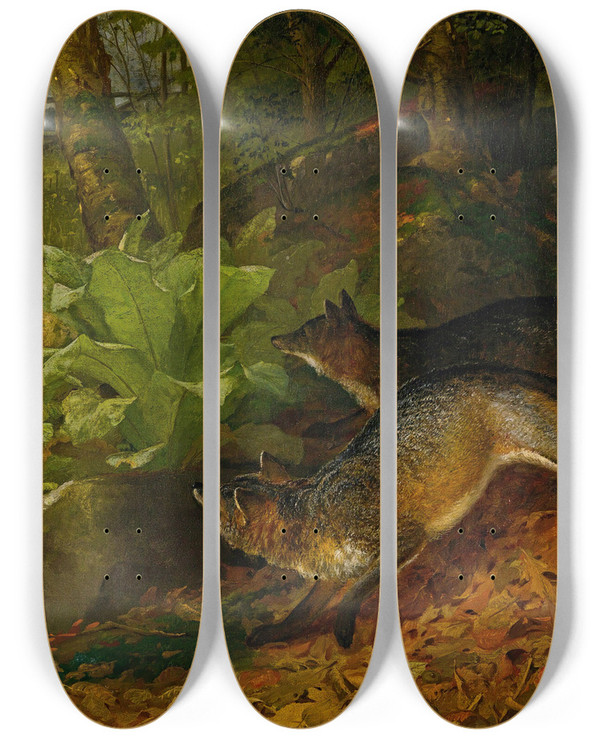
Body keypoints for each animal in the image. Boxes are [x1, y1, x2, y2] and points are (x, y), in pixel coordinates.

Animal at [220, 364, 556, 648]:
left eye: (220, 498)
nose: (205, 486)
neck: (315, 510)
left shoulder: (406, 537)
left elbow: (357, 588)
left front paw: (344, 624)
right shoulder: (333, 574)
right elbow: (303, 611)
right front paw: (275, 633)